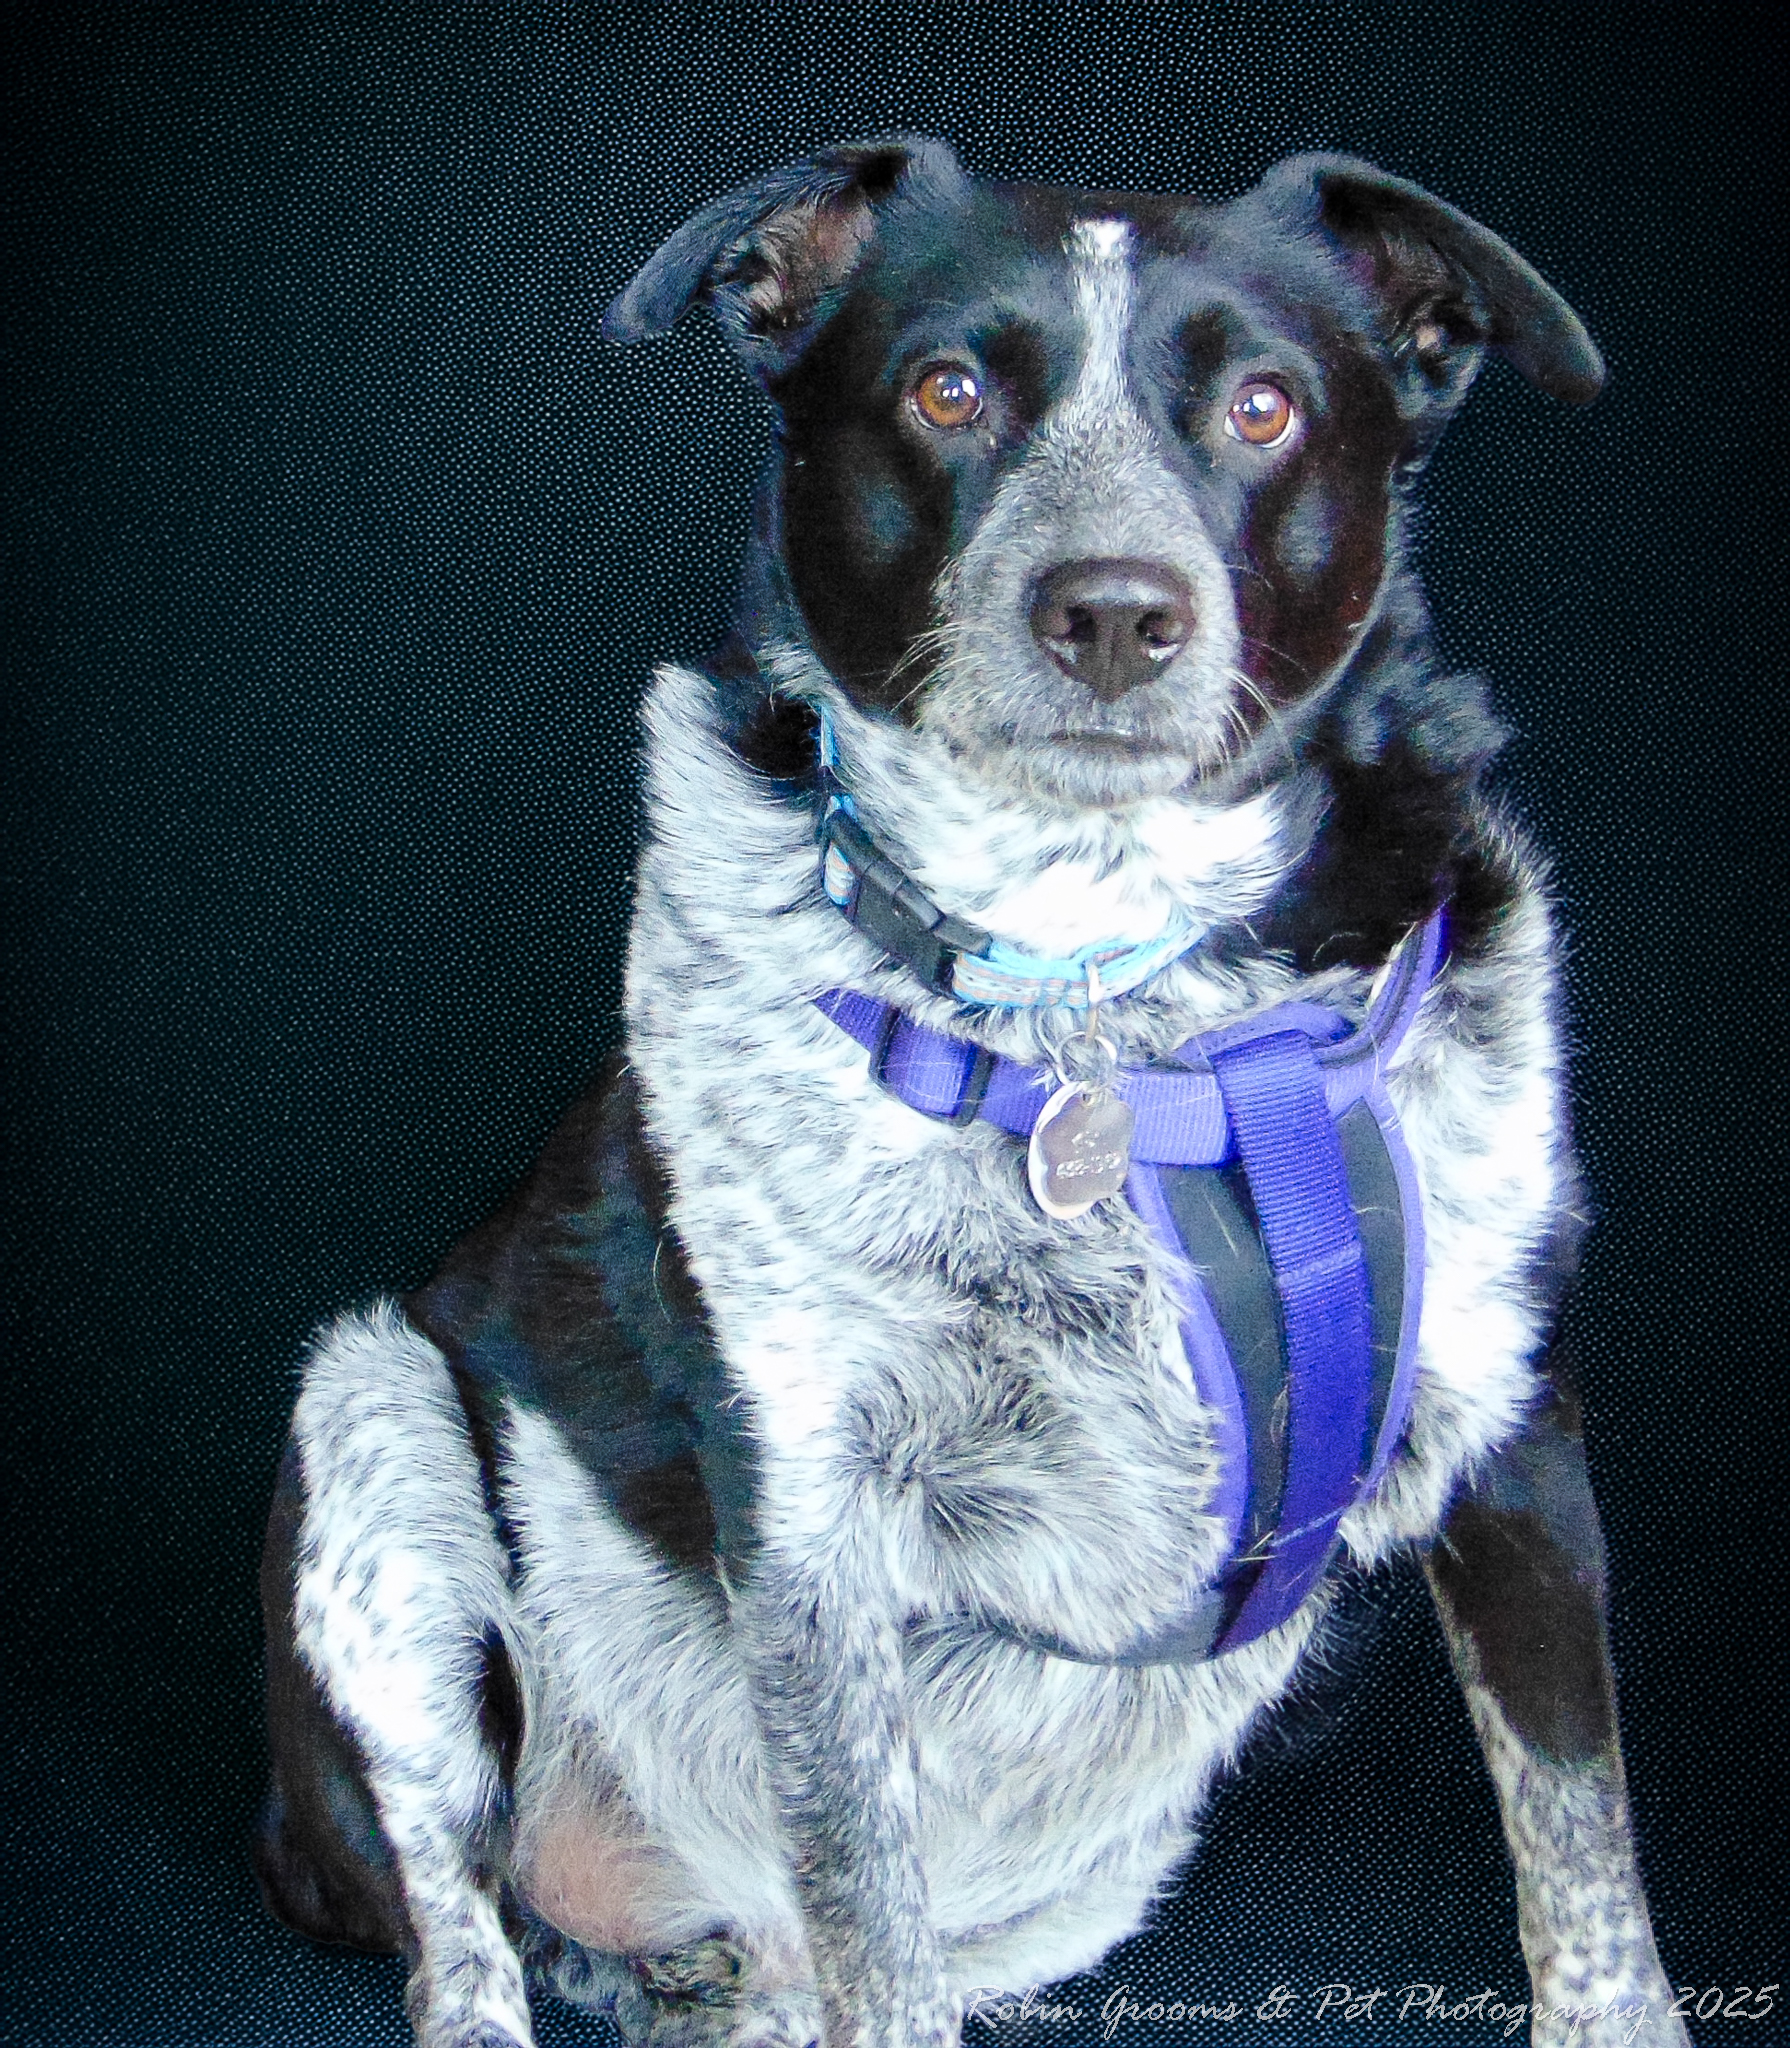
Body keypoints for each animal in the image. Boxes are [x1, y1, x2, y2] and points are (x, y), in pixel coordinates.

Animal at [255, 138, 1687, 2048]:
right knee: (462, 1926)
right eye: (947, 390)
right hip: (376, 1425)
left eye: (1260, 407)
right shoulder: (812, 1531)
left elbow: (1585, 1865)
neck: (1109, 1004)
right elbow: (873, 1911)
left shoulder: (1512, 1430)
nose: (1111, 610)